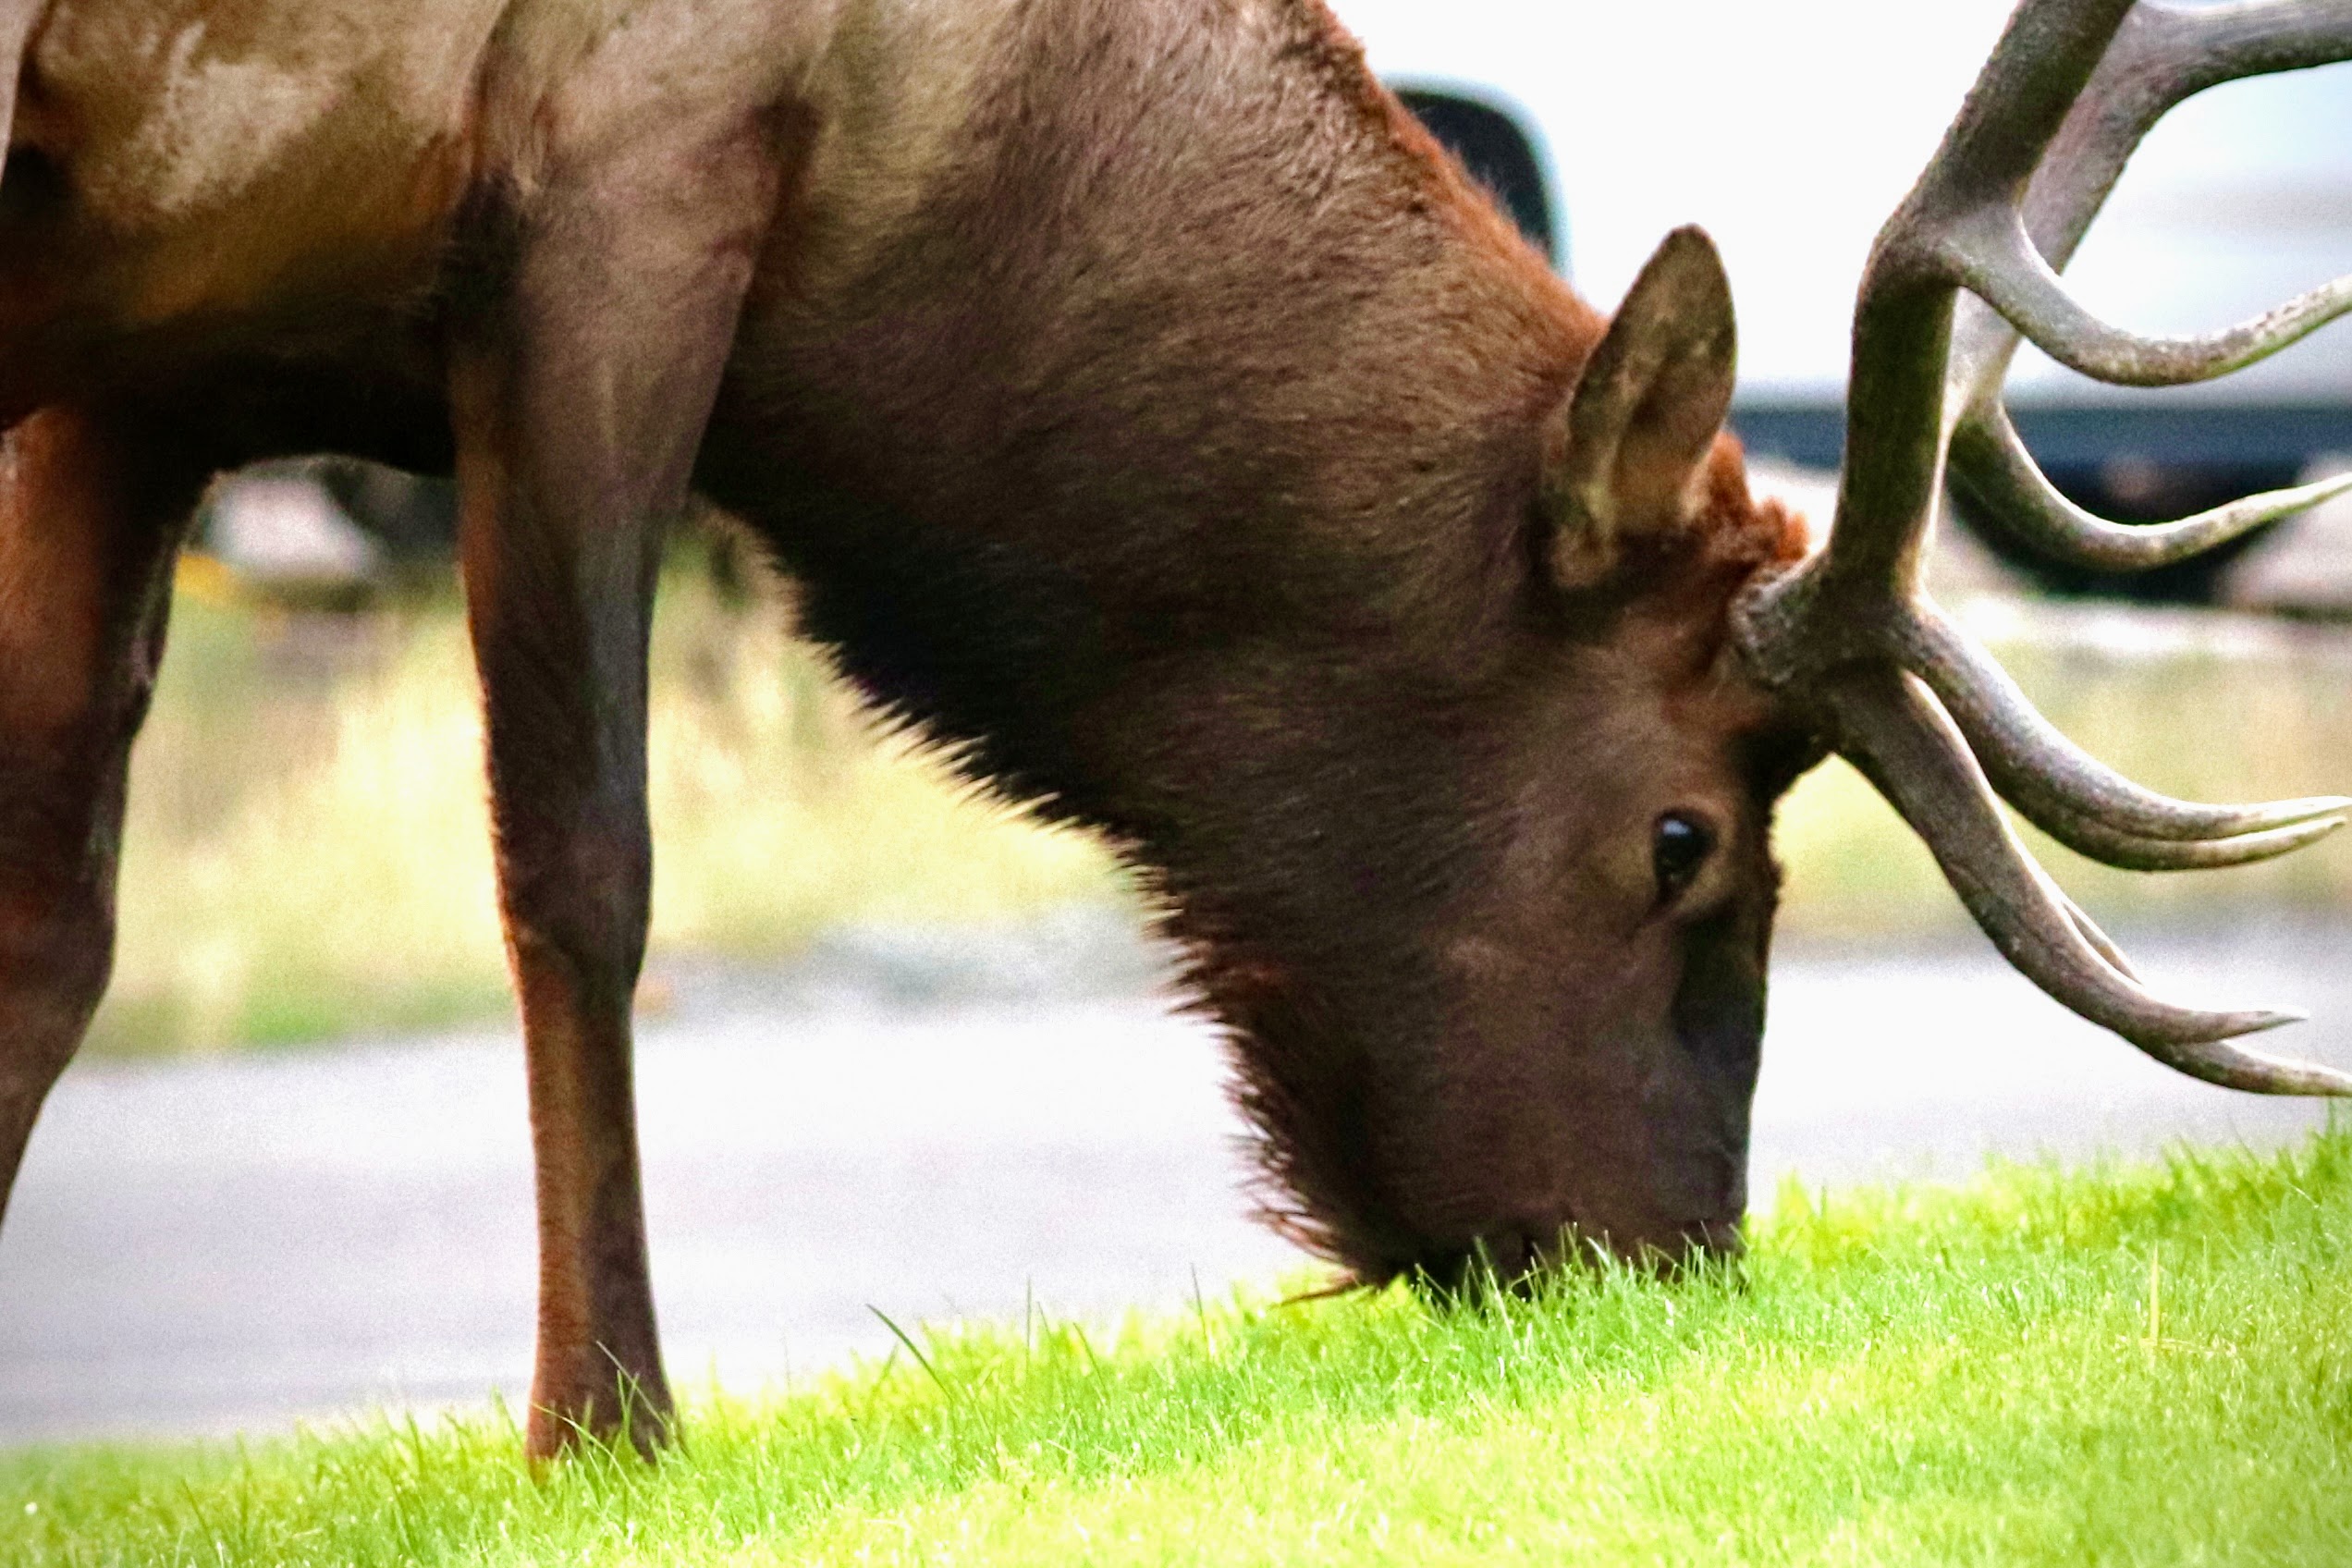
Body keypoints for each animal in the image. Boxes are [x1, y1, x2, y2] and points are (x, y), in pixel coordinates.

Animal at [0, 0, 2347, 1460]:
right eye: (1683, 835)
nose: (1672, 1264)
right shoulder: (610, 202)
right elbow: (580, 861)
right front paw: (603, 1429)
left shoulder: (162, 349)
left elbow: (59, 925)